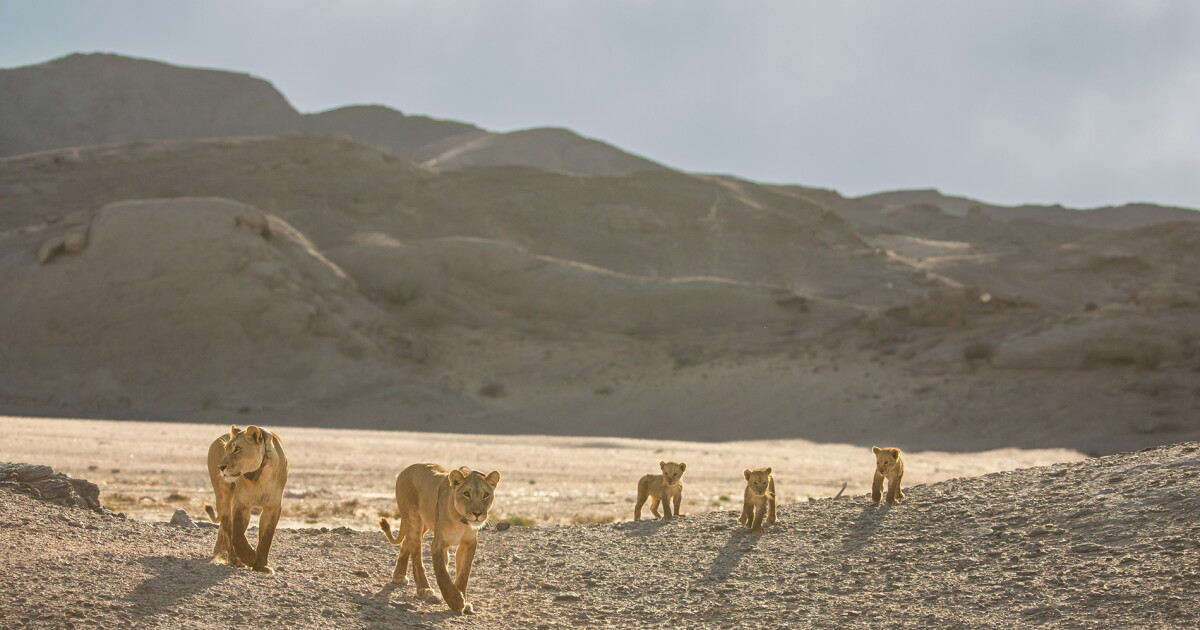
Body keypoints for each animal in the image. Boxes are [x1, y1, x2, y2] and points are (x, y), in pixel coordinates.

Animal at [202, 425, 289, 573]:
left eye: (237, 449)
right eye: (226, 449)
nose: (220, 467)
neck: (258, 477)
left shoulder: (273, 507)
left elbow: (266, 537)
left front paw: (261, 566)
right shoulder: (241, 505)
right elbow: (237, 535)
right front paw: (250, 557)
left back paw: (220, 551)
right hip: (223, 496)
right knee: (227, 528)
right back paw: (233, 559)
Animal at [378, 463, 501, 614]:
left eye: (486, 495)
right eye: (466, 494)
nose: (477, 514)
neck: (461, 521)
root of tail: (406, 469)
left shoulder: (468, 543)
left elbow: (463, 573)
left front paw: (464, 601)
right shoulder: (438, 543)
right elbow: (442, 573)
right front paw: (455, 601)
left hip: (424, 525)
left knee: (407, 543)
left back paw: (399, 575)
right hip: (414, 520)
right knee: (416, 556)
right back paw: (423, 588)